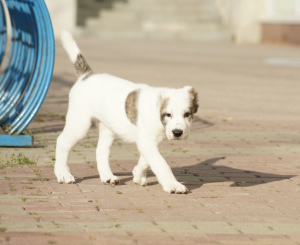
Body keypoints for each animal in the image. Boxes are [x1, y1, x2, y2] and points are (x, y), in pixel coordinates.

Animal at [54, 31, 198, 194]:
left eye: (187, 114)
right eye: (168, 114)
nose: (178, 133)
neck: (155, 110)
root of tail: (87, 75)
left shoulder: (149, 140)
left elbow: (146, 160)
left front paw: (138, 175)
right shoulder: (147, 140)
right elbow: (160, 163)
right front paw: (173, 184)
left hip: (107, 128)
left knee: (101, 150)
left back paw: (107, 176)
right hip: (80, 123)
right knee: (62, 141)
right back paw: (63, 174)